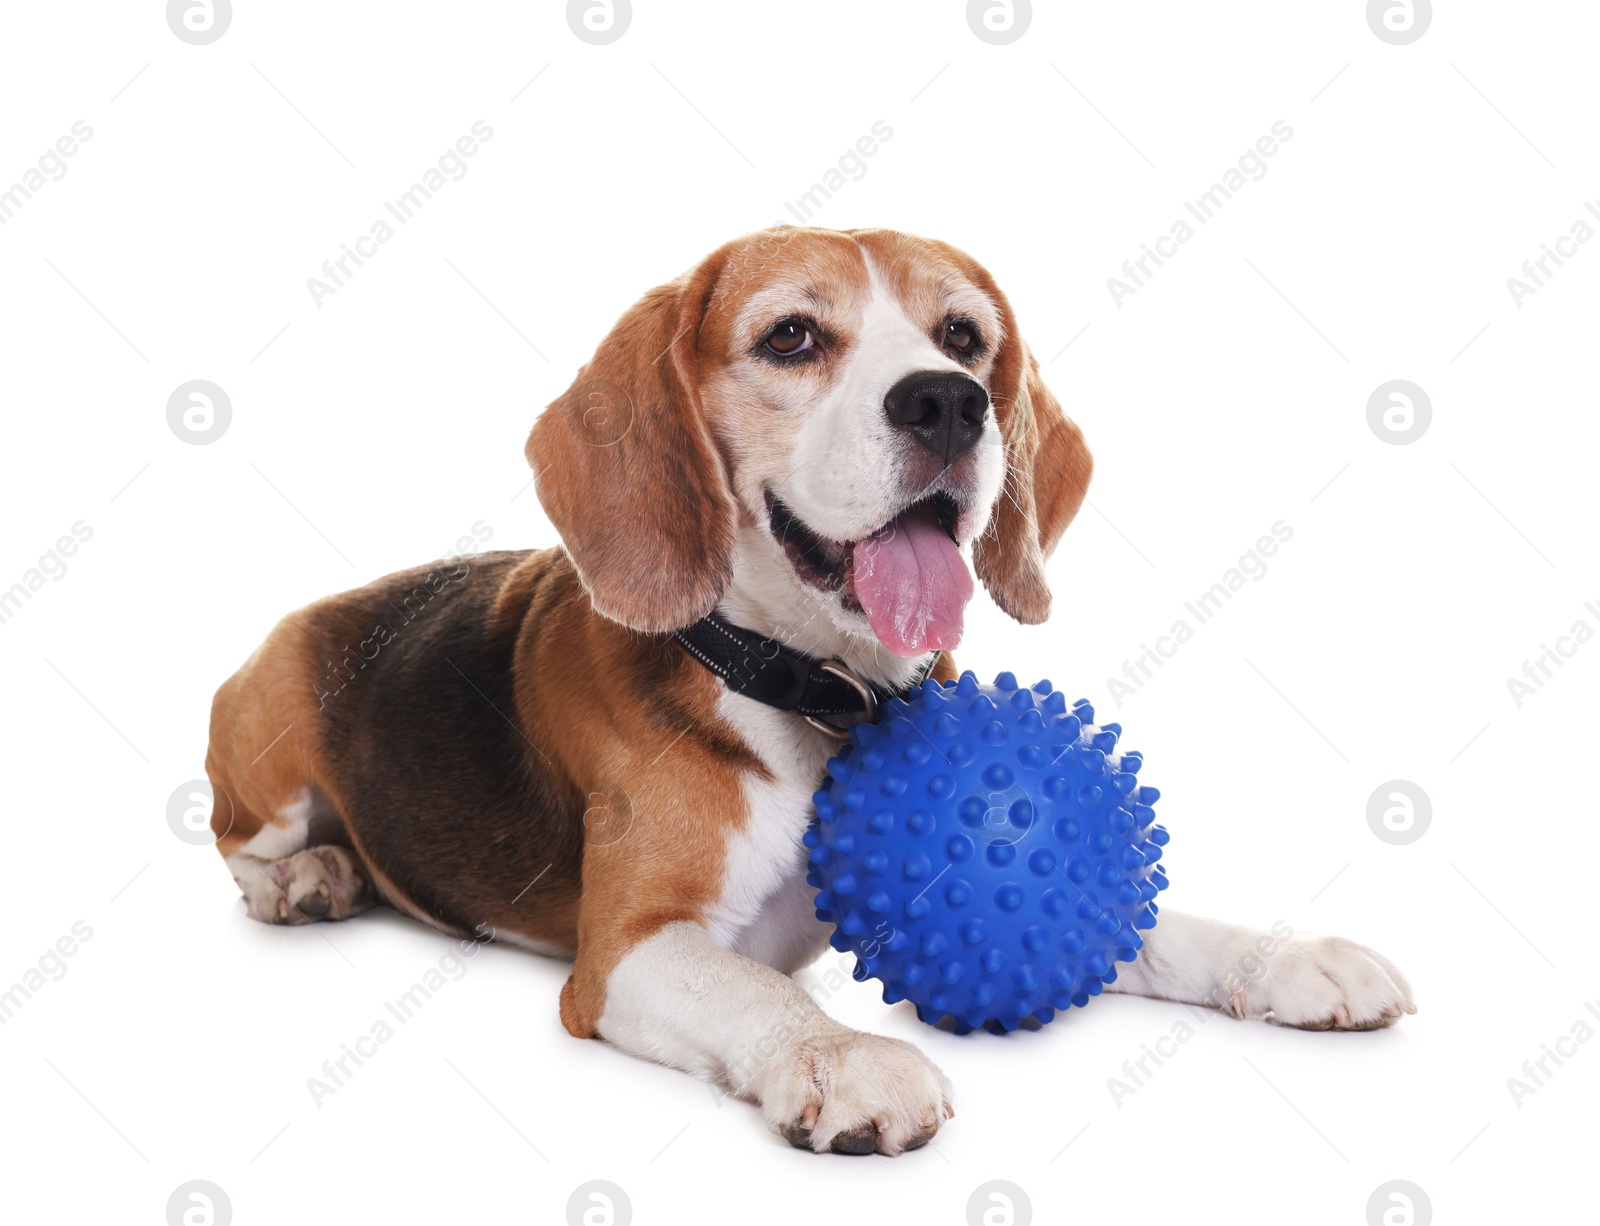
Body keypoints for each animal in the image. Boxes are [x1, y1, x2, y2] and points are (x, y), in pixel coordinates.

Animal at [209, 227, 1414, 1165]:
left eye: (963, 337)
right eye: (790, 335)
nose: (948, 401)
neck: (820, 691)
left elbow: (1149, 926)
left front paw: (1281, 957)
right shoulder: (625, 953)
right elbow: (755, 989)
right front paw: (842, 1053)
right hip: (267, 743)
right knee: (237, 843)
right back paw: (307, 879)